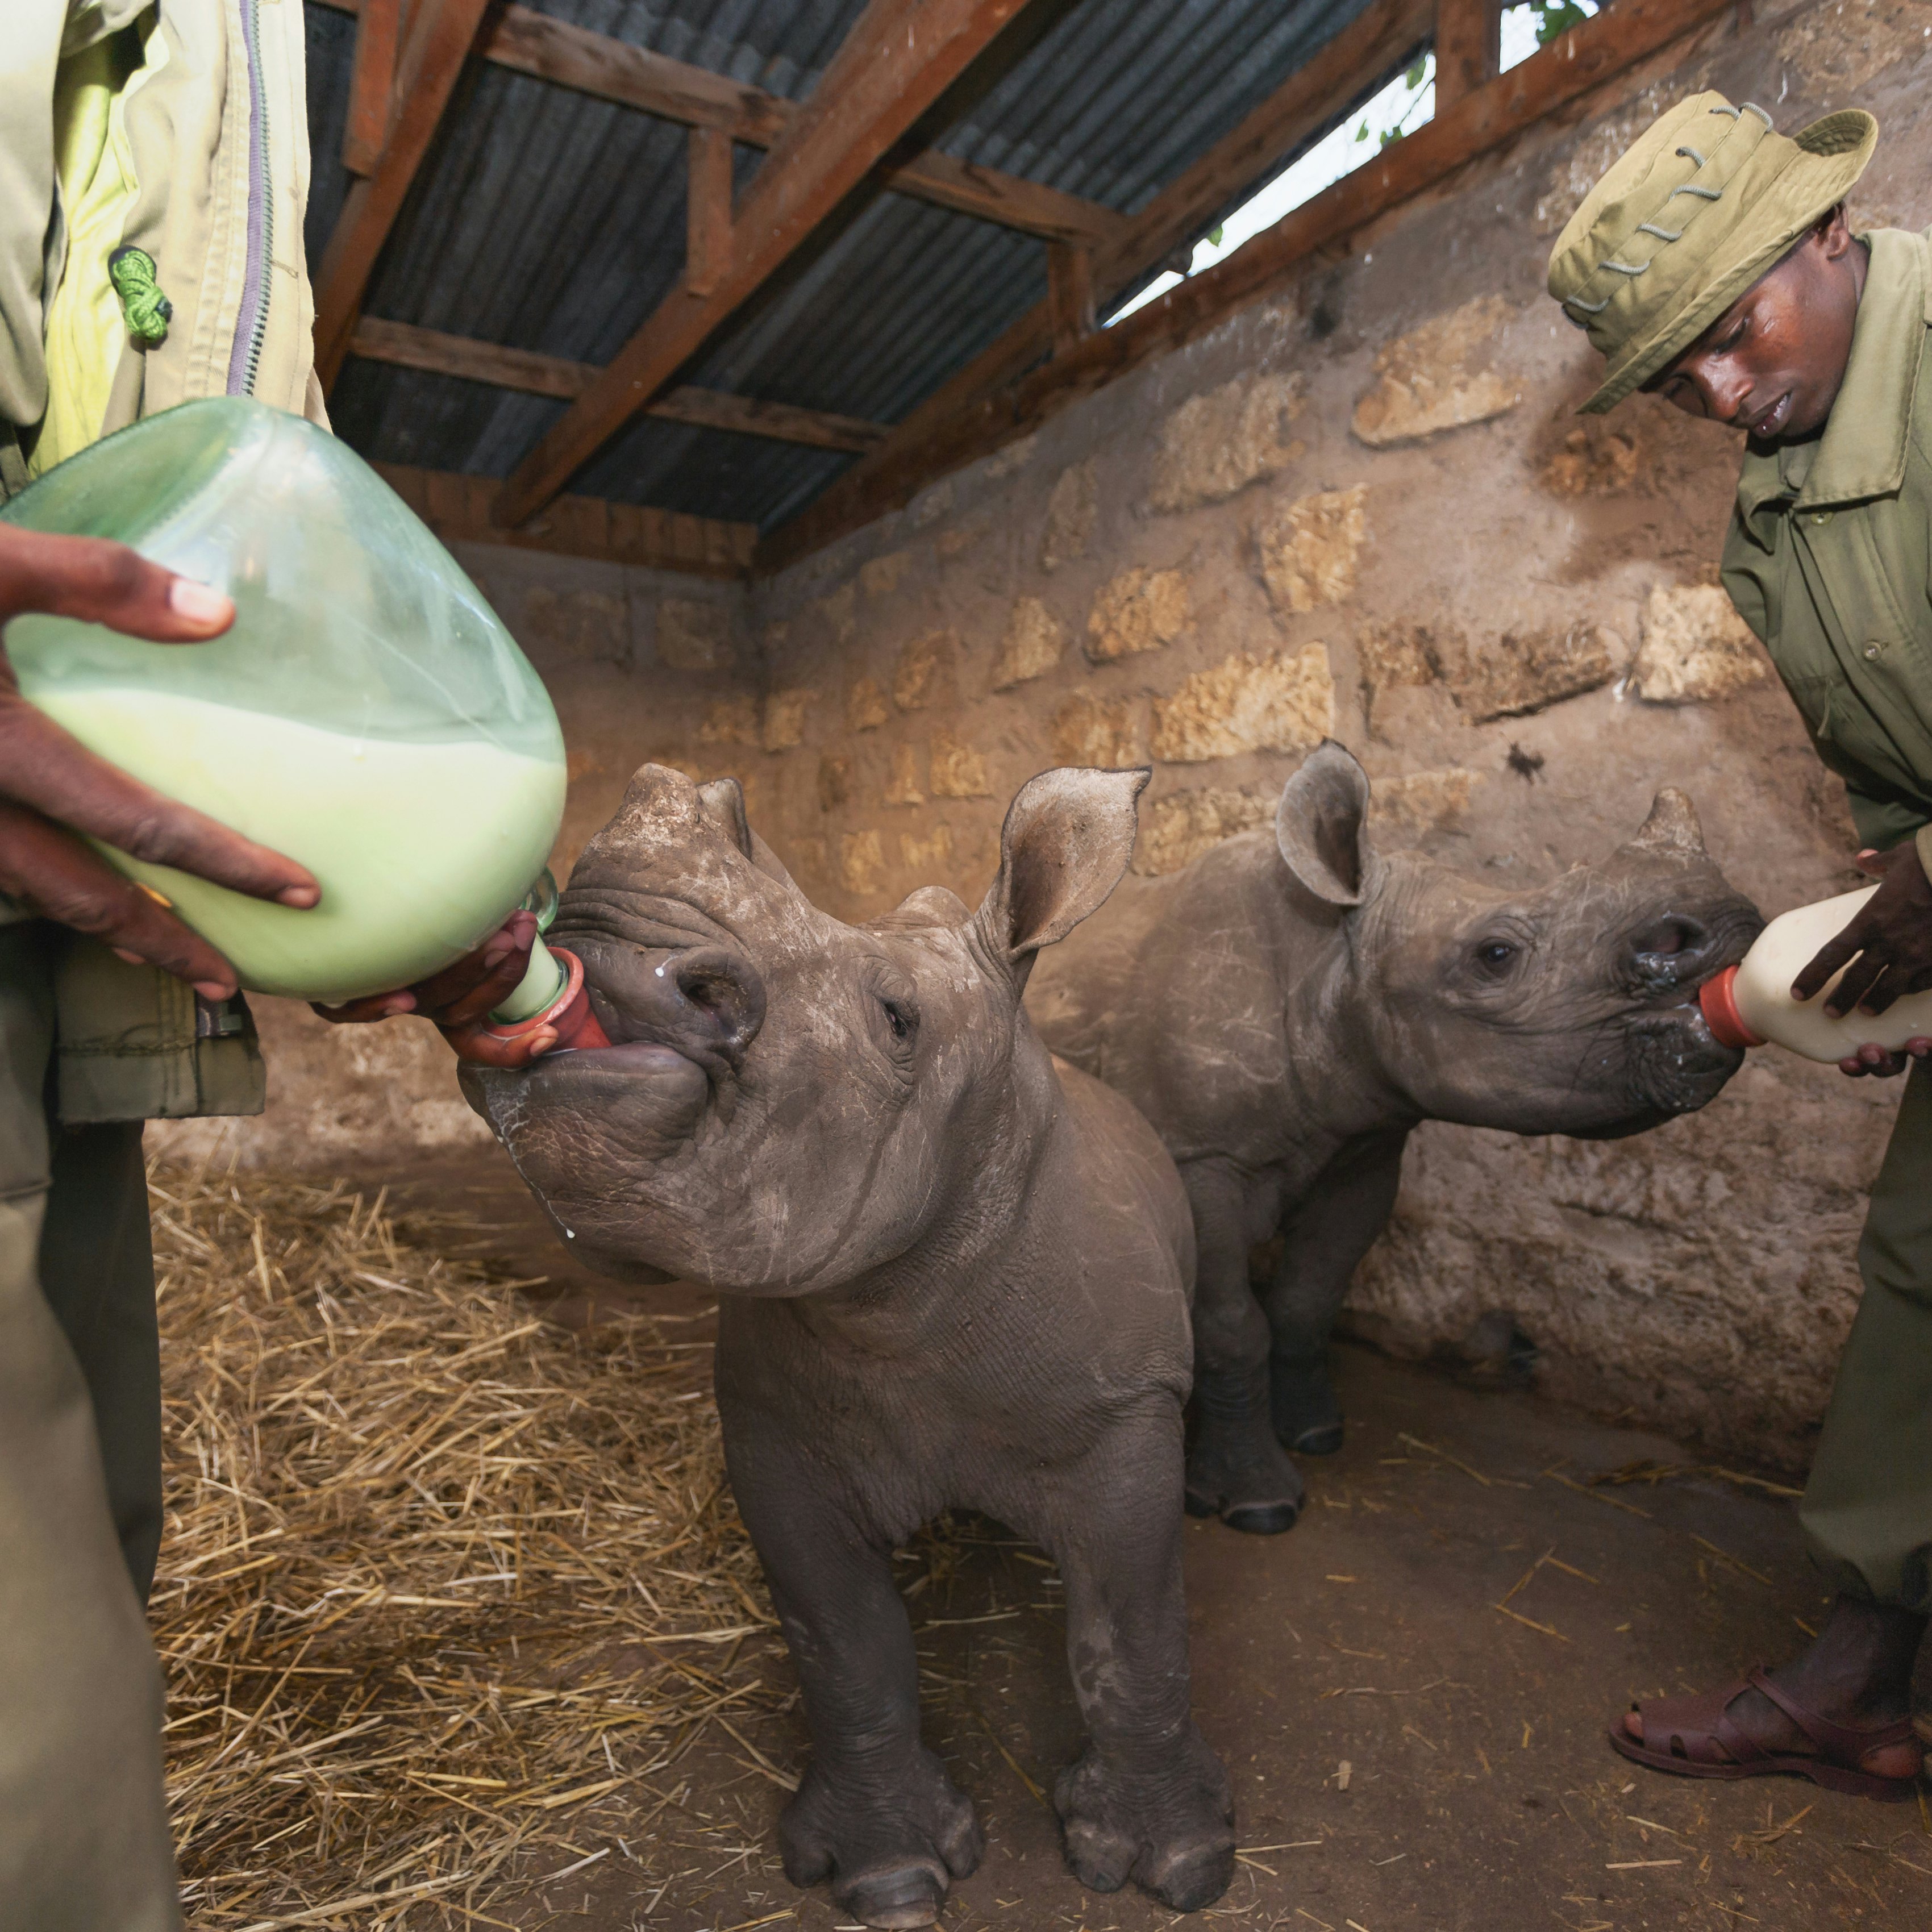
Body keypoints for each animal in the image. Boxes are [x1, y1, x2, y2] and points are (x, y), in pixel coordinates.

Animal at [463, 764, 1235, 1929]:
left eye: (898, 1019)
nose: (600, 951)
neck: (907, 1295)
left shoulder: (1124, 1411)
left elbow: (1135, 1634)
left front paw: (1174, 1867)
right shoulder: (778, 1433)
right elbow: (843, 1646)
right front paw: (892, 1879)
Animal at [1026, 742, 1761, 1534]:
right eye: (1495, 956)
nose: (1729, 923)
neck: (1329, 950)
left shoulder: (1365, 1145)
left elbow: (1309, 1299)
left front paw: (1318, 1433)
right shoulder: (1200, 1157)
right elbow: (1230, 1326)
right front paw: (1257, 1506)